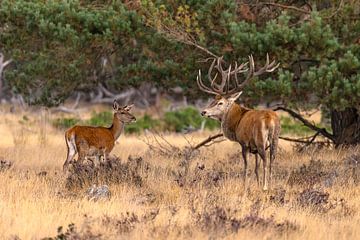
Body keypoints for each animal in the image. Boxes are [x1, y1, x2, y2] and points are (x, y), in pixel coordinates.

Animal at [198, 54, 280, 191]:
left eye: (220, 103)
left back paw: (265, 187)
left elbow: (246, 166)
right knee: (272, 161)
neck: (236, 124)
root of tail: (271, 120)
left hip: (260, 139)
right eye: (212, 100)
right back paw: (271, 185)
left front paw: (245, 186)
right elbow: (256, 168)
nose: (203, 112)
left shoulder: (244, 142)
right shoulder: (254, 148)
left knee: (266, 161)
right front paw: (257, 185)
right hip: (275, 139)